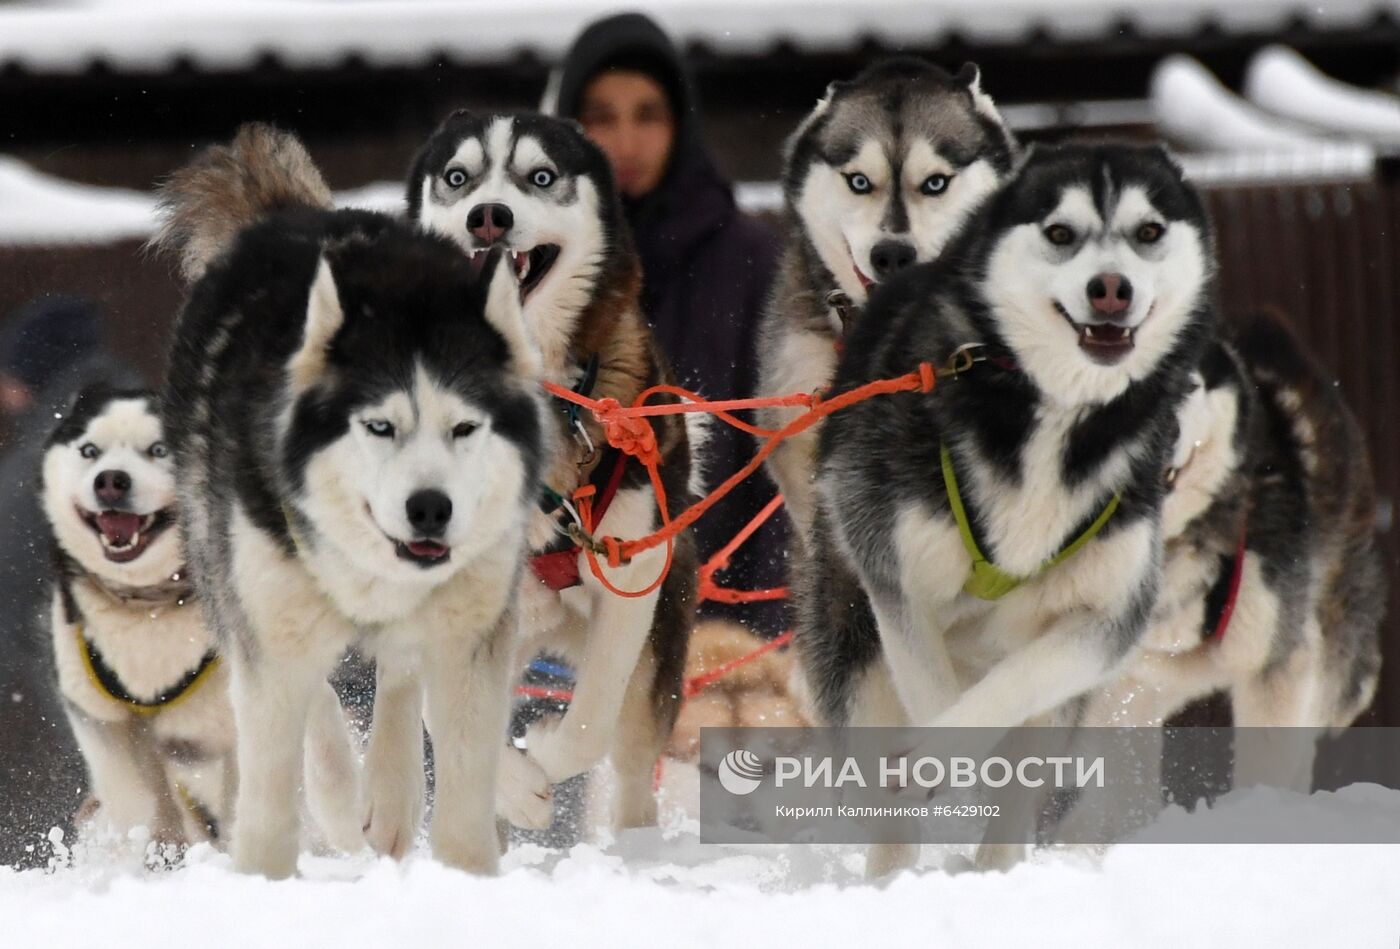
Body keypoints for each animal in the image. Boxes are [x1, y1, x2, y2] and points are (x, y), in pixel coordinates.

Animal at [154, 124, 546, 879]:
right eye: (380, 426)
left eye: (465, 427)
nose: (430, 509)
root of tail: (289, 215)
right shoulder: (270, 628)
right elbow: (275, 776)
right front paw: (266, 874)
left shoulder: (472, 627)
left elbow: (461, 775)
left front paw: (467, 878)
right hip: (232, 576)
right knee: (318, 703)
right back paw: (342, 796)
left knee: (399, 673)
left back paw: (390, 796)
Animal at [408, 109, 697, 834]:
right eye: (458, 177)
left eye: (540, 177)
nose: (488, 216)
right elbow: (446, 716)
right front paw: (511, 787)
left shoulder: (632, 575)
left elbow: (590, 719)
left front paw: (539, 758)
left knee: (631, 760)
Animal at [812, 143, 1215, 879]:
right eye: (1060, 232)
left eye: (1148, 231)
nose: (1110, 288)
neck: (1055, 409)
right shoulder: (896, 576)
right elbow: (932, 693)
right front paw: (939, 766)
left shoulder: (1109, 615)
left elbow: (1014, 690)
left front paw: (957, 761)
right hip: (852, 638)